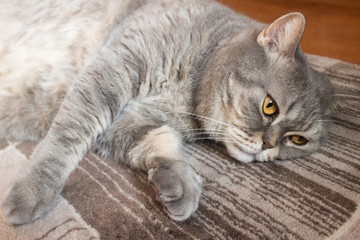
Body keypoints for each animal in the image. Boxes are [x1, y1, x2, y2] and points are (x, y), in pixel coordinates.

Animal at [0, 0, 334, 225]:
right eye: (269, 106)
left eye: (297, 140)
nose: (268, 146)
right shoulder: (110, 73)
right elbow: (65, 138)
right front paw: (32, 191)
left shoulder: (131, 120)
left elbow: (161, 139)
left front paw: (180, 182)